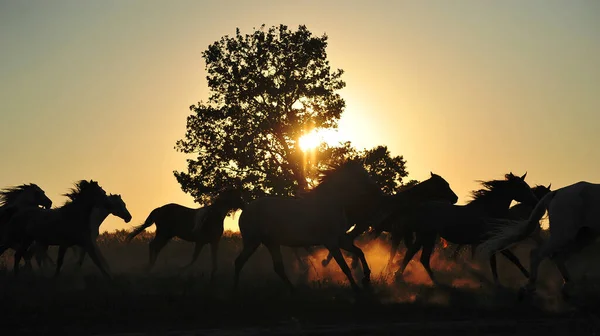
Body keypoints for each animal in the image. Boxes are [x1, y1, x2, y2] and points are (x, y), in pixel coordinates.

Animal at [232, 160, 386, 294]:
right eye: (360, 175)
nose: (378, 192)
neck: (330, 203)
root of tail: (246, 208)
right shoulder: (331, 242)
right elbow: (344, 266)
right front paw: (357, 288)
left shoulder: (341, 239)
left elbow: (359, 252)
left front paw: (366, 279)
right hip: (252, 242)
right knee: (239, 262)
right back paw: (235, 291)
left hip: (272, 244)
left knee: (278, 268)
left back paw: (294, 291)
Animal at [322, 172, 458, 272]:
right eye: (444, 185)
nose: (455, 198)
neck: (407, 204)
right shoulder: (398, 231)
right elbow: (395, 251)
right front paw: (390, 269)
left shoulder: (406, 233)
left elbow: (409, 249)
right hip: (357, 224)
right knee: (345, 238)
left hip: (358, 225)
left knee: (347, 238)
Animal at [394, 173, 540, 286]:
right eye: (523, 187)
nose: (536, 201)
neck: (488, 210)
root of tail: (420, 207)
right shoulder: (491, 241)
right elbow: (498, 261)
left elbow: (512, 259)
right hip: (427, 236)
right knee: (418, 256)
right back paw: (430, 280)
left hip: (426, 237)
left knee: (417, 255)